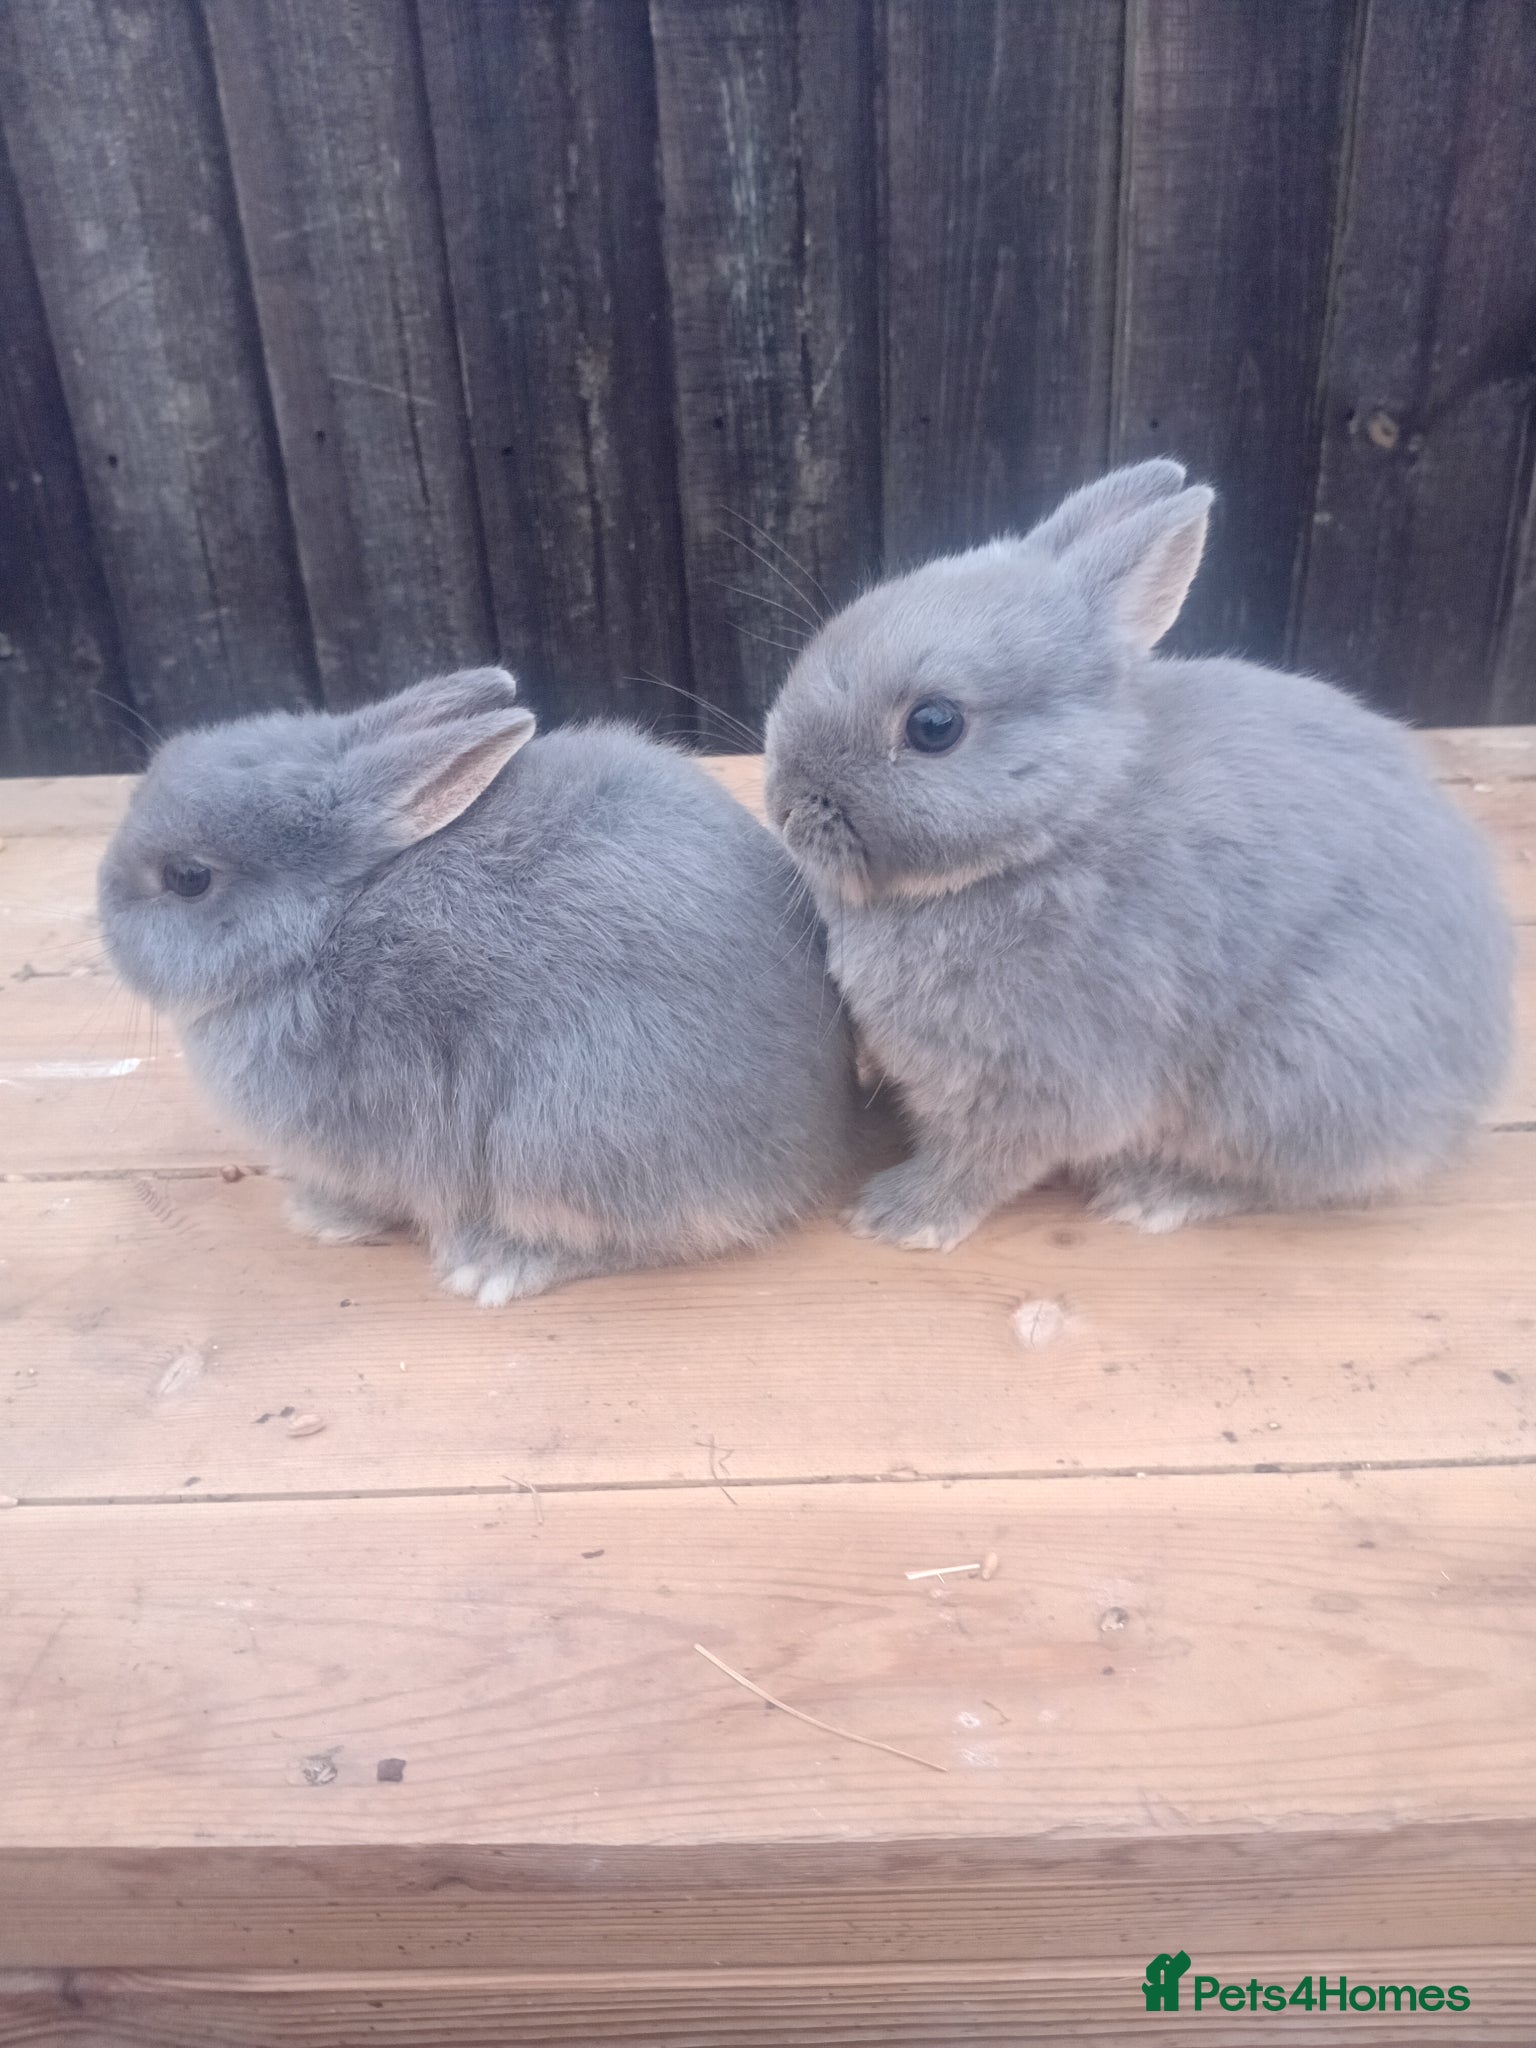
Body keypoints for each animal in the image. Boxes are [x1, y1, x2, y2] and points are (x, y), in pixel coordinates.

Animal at [98, 667, 858, 1301]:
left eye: (188, 879)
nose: (102, 918)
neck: (322, 925)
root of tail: (819, 1141)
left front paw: (320, 1217)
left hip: (559, 1135)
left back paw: (495, 1265)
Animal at [762, 459, 1513, 1247]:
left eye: (934, 725)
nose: (784, 802)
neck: (1055, 830)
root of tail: (1469, 1087)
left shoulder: (1038, 1079)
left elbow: (983, 1161)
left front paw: (898, 1218)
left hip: (1293, 1073)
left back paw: (1153, 1195)